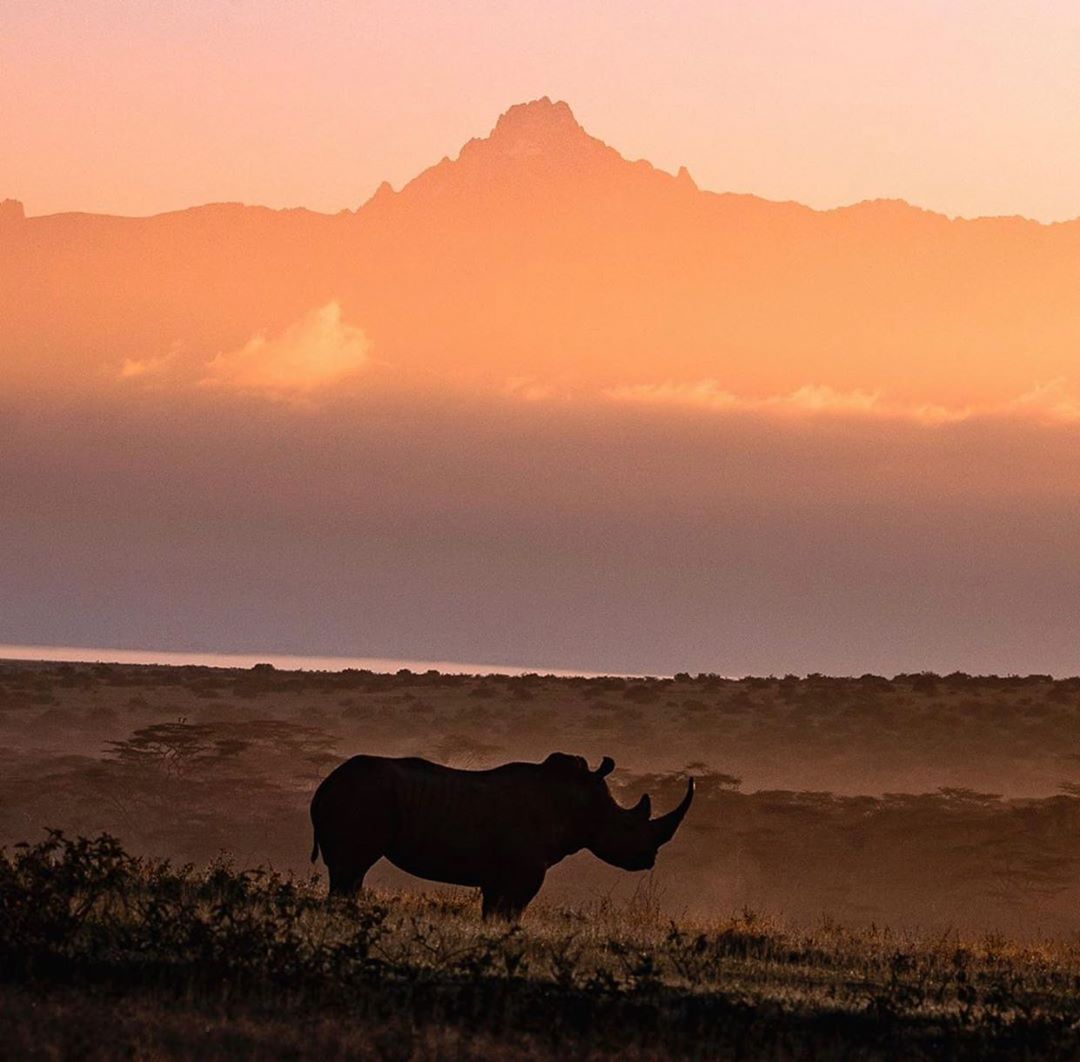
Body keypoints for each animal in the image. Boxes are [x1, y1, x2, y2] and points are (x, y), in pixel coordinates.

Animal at [309, 752, 694, 918]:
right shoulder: (524, 871)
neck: (580, 802)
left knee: (348, 871)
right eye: (628, 827)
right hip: (363, 796)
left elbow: (492, 912)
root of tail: (325, 784)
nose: (649, 860)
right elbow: (512, 911)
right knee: (351, 868)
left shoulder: (499, 874)